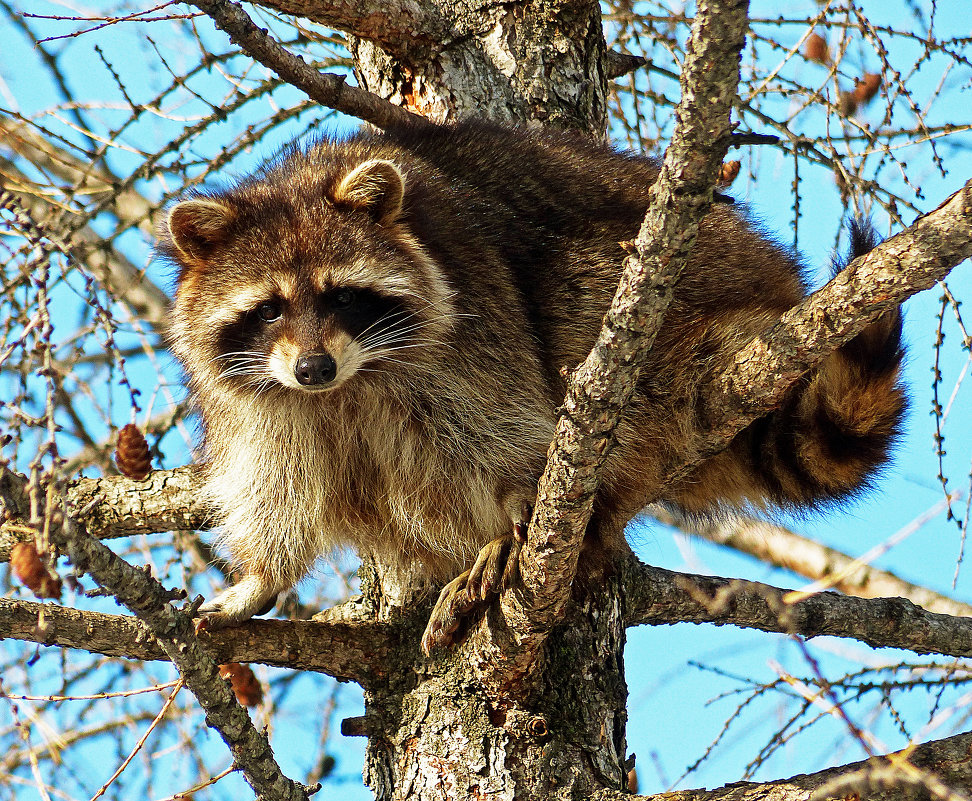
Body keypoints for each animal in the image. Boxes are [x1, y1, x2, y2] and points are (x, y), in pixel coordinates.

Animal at [163, 120, 908, 648]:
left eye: (342, 297)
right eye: (271, 309)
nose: (313, 368)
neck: (350, 383)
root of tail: (773, 286)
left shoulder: (473, 318)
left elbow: (502, 422)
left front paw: (517, 498)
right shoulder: (263, 401)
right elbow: (276, 485)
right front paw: (260, 577)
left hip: (681, 299)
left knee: (580, 293)